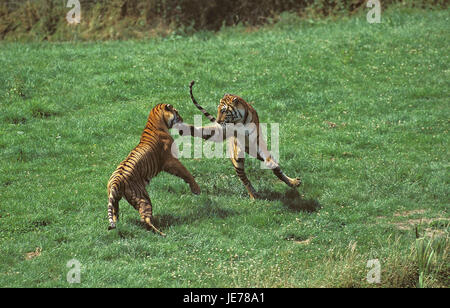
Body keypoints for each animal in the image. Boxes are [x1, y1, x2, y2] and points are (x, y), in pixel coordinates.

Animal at [106, 103, 200, 236]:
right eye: (177, 112)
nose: (182, 119)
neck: (154, 121)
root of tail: (116, 180)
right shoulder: (171, 161)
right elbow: (186, 172)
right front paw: (196, 189)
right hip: (143, 197)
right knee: (145, 218)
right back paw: (162, 233)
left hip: (114, 198)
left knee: (115, 214)